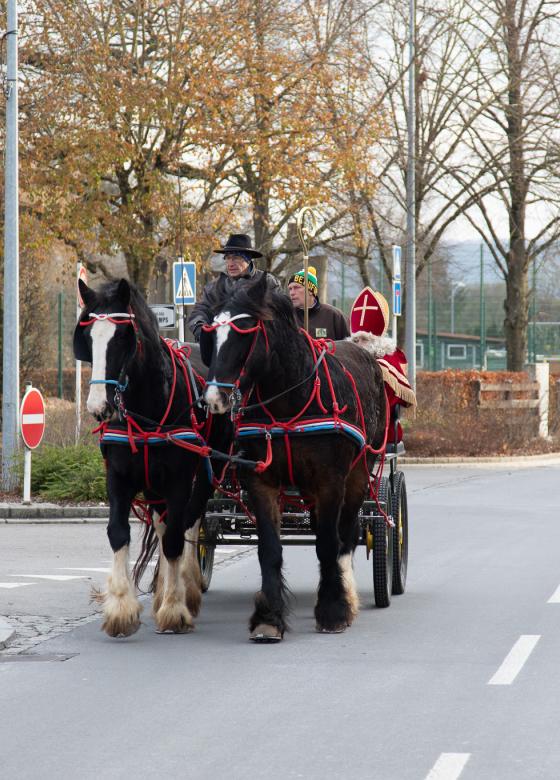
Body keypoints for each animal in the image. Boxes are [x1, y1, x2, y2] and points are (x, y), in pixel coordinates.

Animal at [74, 278, 221, 636]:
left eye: (123, 337)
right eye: (88, 338)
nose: (98, 407)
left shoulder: (179, 479)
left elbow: (174, 540)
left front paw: (175, 609)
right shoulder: (119, 476)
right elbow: (118, 532)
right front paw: (120, 609)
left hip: (204, 473)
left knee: (188, 523)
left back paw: (187, 589)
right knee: (164, 522)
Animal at [203, 274, 388, 640]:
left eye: (245, 332)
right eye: (211, 334)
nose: (214, 398)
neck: (289, 400)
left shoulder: (331, 480)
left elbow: (328, 544)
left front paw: (333, 610)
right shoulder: (260, 480)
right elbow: (270, 549)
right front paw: (269, 617)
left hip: (360, 473)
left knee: (345, 536)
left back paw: (345, 592)